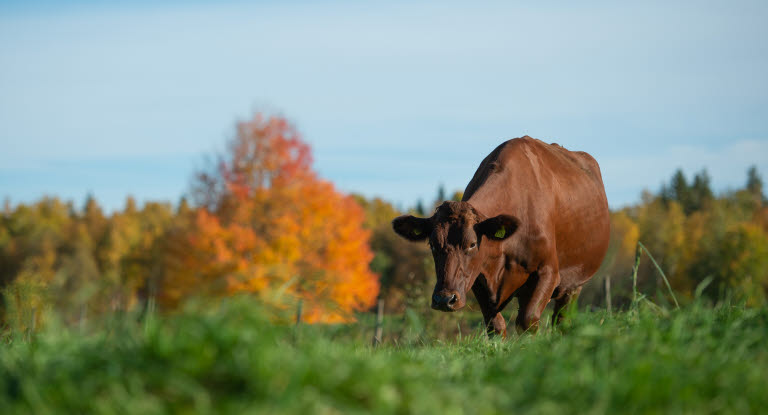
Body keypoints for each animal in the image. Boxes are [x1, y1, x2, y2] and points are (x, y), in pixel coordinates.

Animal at [392, 138, 608, 336]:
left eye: (472, 244)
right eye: (432, 245)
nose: (445, 299)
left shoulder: (547, 271)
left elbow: (527, 320)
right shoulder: (477, 279)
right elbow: (495, 325)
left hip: (574, 284)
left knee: (561, 321)